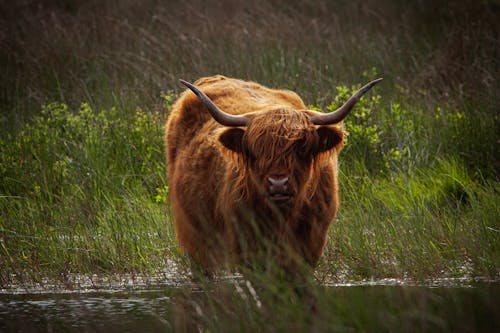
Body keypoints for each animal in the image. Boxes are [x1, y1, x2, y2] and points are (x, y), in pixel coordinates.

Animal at [166, 75, 380, 274]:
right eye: (255, 150)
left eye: (302, 148)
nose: (278, 183)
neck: (282, 217)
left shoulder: (311, 244)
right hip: (195, 237)